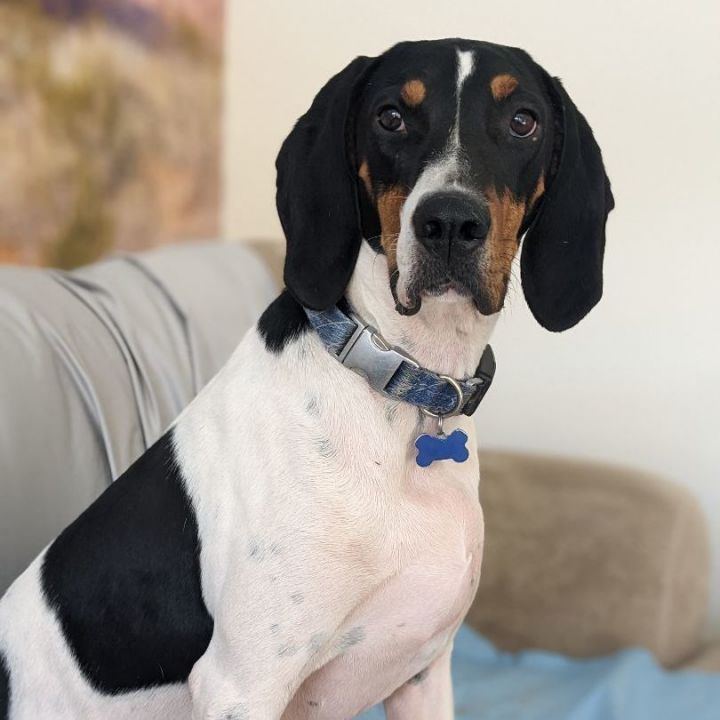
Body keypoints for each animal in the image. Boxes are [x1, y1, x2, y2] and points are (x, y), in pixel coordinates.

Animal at [0, 39, 612, 720]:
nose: (450, 223)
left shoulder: (423, 674)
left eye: (523, 121)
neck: (405, 379)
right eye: (390, 117)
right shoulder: (242, 683)